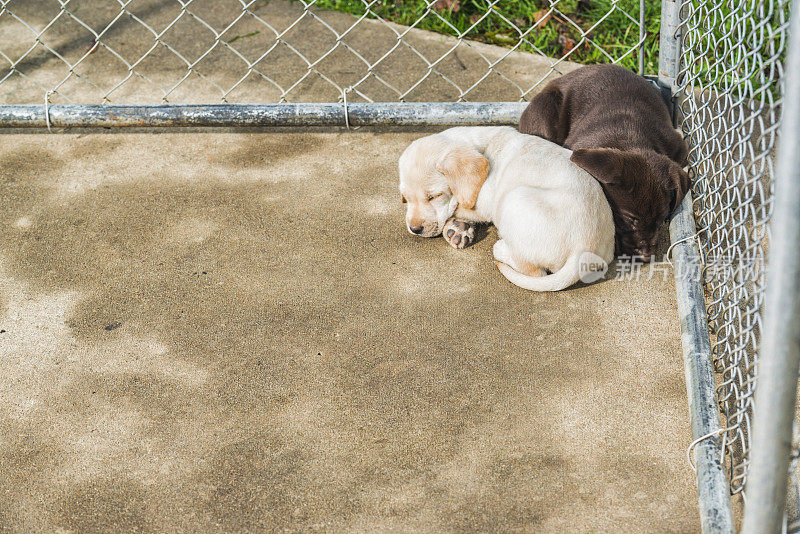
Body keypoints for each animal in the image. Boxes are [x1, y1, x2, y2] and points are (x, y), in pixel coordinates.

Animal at [398, 126, 612, 294]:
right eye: (405, 198)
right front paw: (458, 229)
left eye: (434, 196)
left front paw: (456, 224)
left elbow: (457, 207)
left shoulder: (483, 206)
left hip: (513, 199)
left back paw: (501, 248)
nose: (414, 229)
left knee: (534, 270)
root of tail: (583, 250)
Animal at [516, 65, 692, 262]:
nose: (646, 257)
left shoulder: (679, 147)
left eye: (661, 221)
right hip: (545, 110)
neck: (633, 138)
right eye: (629, 219)